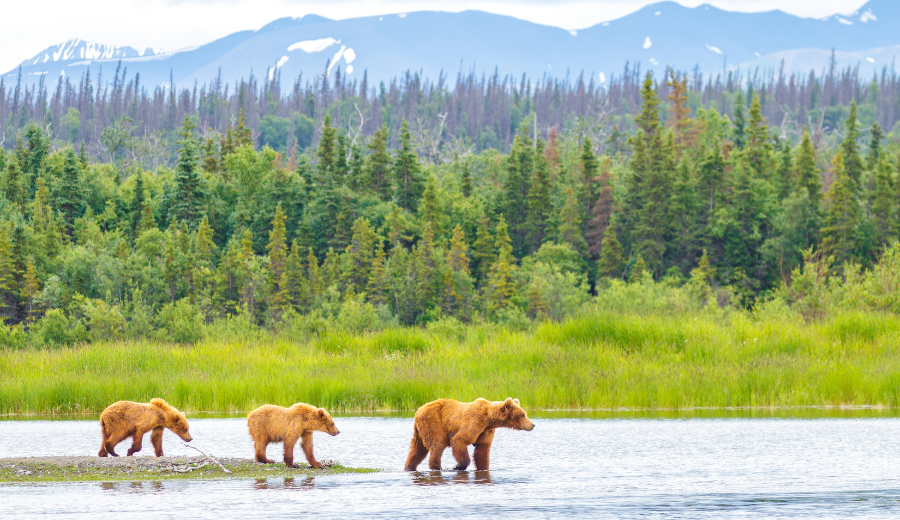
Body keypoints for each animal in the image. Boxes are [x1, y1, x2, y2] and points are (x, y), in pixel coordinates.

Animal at [402, 398, 536, 472]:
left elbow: (482, 451)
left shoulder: (485, 431)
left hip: (420, 430)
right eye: (523, 414)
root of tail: (418, 410)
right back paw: (437, 467)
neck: (489, 419)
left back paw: (409, 466)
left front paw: (483, 467)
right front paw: (458, 466)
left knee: (417, 449)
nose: (533, 425)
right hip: (433, 423)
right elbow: (459, 440)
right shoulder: (474, 422)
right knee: (437, 444)